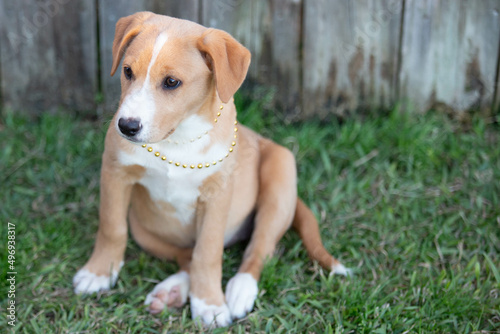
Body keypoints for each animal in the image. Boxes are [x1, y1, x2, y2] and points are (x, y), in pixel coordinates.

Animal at [73, 12, 348, 326]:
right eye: (127, 71)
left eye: (171, 82)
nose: (126, 127)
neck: (177, 140)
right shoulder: (115, 172)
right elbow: (111, 227)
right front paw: (98, 273)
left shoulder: (217, 196)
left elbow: (208, 252)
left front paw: (209, 304)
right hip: (145, 231)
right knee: (185, 257)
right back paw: (172, 291)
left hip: (280, 176)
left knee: (259, 247)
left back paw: (240, 290)